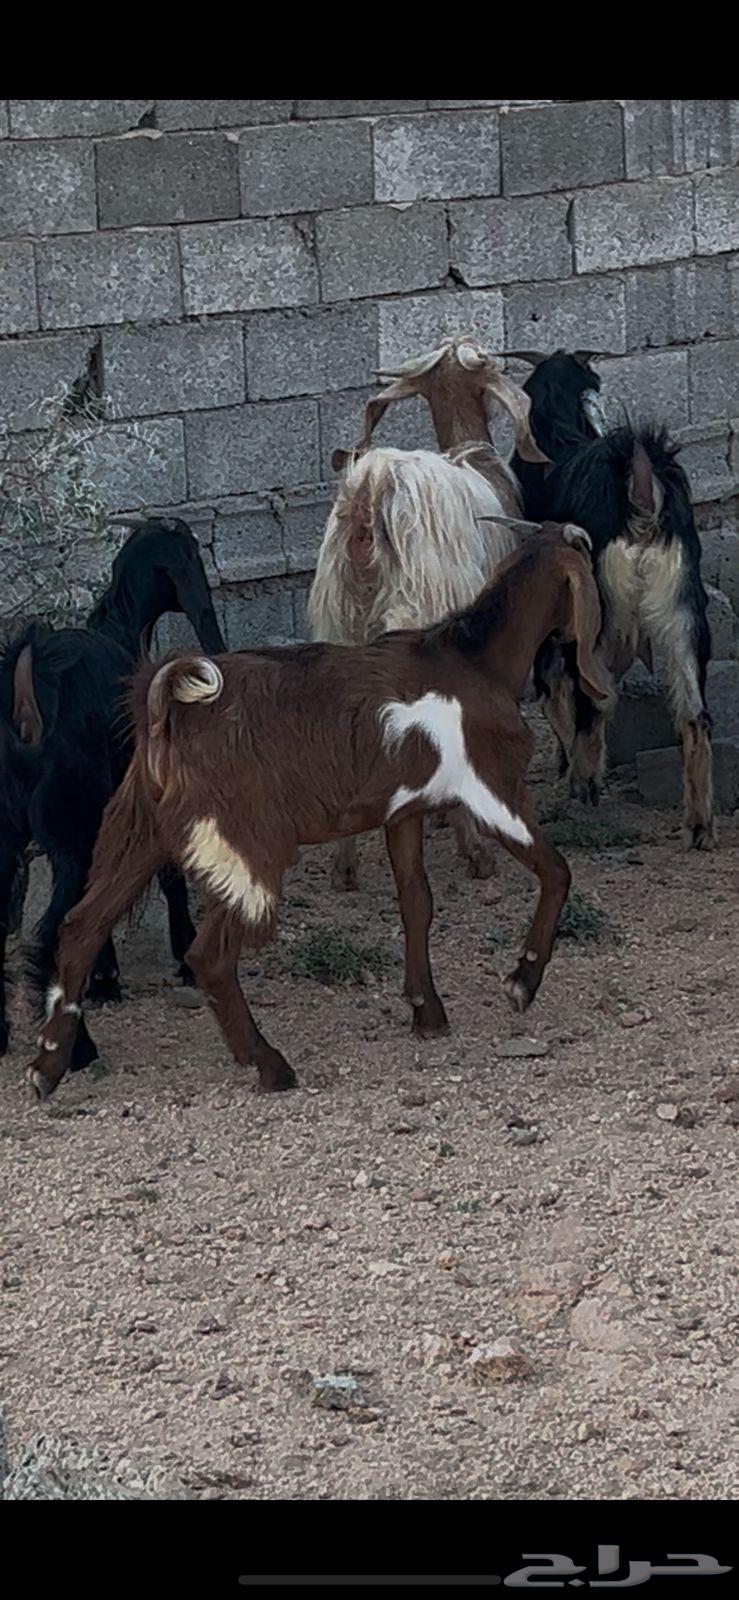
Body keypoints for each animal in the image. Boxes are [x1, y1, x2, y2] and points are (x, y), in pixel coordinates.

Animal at [0, 518, 225, 1063]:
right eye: (193, 551)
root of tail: (25, 703)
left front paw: (106, 980)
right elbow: (166, 876)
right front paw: (182, 955)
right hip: (70, 832)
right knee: (54, 934)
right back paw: (76, 1047)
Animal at [26, 523, 611, 1104]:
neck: (475, 658)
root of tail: (169, 708)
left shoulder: (402, 813)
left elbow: (416, 902)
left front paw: (427, 1013)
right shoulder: (492, 790)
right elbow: (557, 871)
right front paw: (521, 984)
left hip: (135, 830)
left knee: (80, 927)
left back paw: (47, 1065)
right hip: (246, 845)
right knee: (208, 958)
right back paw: (270, 1066)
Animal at [509, 349, 714, 849]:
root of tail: (640, 495)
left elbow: (552, 688)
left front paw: (568, 764)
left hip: (599, 615)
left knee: (593, 696)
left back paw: (585, 784)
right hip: (684, 616)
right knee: (694, 715)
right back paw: (699, 824)